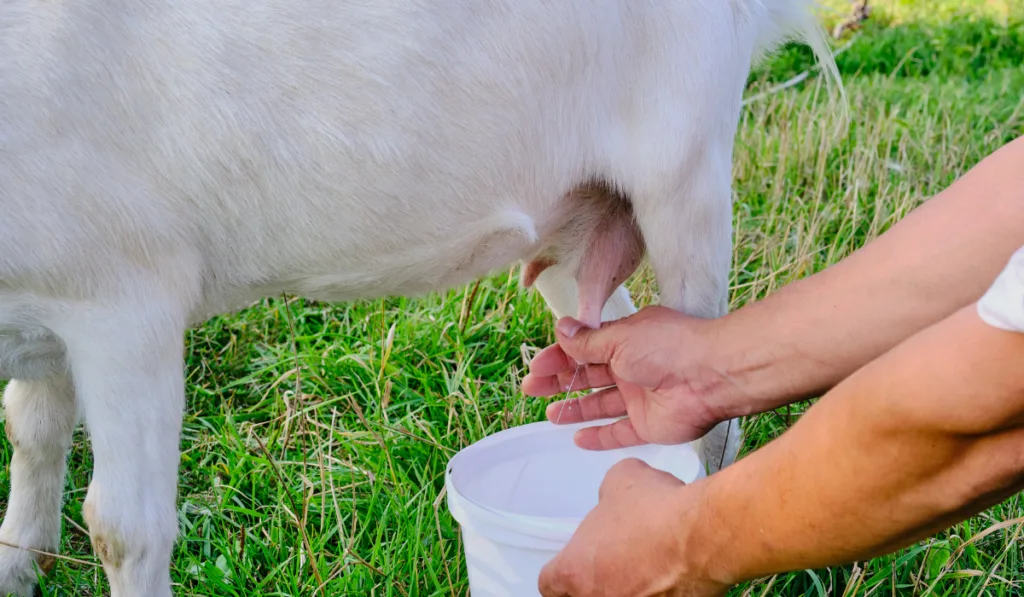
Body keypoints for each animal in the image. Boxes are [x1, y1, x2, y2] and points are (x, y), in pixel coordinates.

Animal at [0, 0, 839, 593]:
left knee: (712, 417)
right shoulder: (47, 311)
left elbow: (123, 527)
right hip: (579, 226)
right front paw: (19, 565)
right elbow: (31, 434)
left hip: (685, 175)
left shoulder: (126, 298)